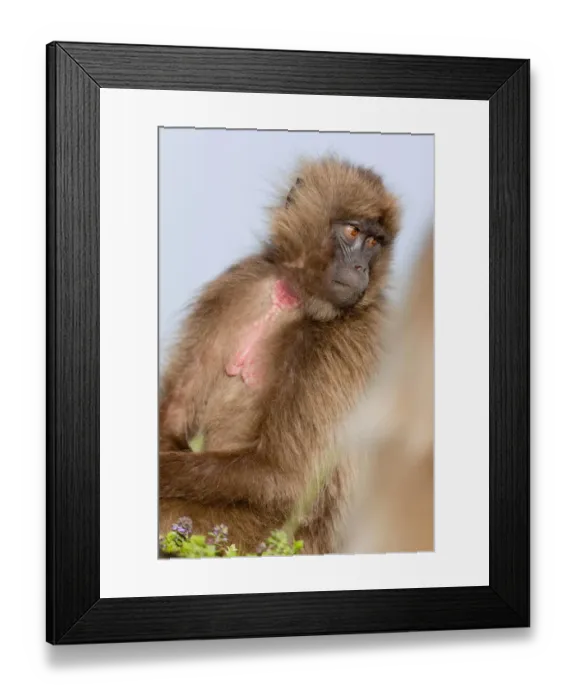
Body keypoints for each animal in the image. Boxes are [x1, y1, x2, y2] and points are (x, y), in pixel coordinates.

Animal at [158, 156, 401, 556]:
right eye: (353, 232)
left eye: (374, 242)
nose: (360, 269)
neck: (297, 296)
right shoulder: (237, 285)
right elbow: (175, 414)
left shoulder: (347, 339)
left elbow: (287, 477)